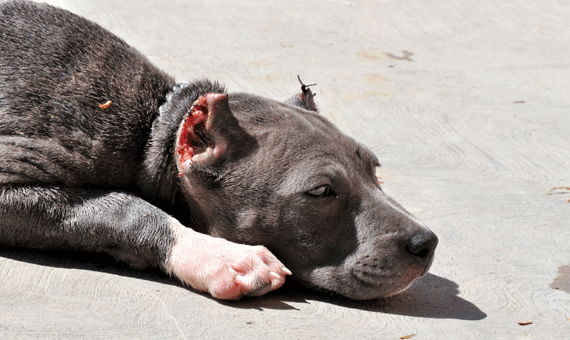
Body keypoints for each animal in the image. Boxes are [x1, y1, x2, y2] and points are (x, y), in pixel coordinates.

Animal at [0, 0, 434, 298]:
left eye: (375, 171)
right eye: (321, 191)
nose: (427, 243)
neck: (157, 125)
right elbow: (122, 206)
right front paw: (220, 256)